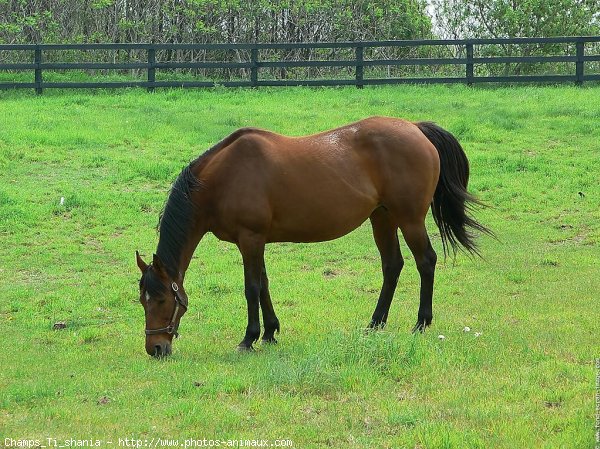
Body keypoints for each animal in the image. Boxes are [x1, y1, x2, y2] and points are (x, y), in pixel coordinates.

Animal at [135, 116, 488, 356]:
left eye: (163, 299)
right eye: (142, 300)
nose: (156, 348)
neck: (223, 178)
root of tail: (415, 128)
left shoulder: (250, 239)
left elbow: (251, 289)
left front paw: (249, 338)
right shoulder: (256, 241)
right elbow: (264, 285)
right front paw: (270, 333)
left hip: (409, 218)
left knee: (425, 261)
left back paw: (421, 323)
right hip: (383, 217)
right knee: (392, 266)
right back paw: (375, 323)